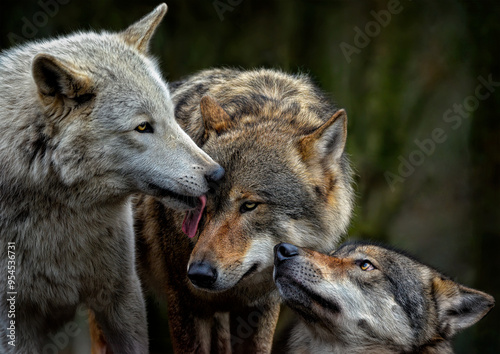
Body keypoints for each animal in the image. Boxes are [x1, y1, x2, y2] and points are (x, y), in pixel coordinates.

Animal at [112, 68, 356, 352]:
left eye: (249, 205)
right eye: (201, 203)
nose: (199, 274)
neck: (268, 107)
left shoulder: (261, 308)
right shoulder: (185, 302)